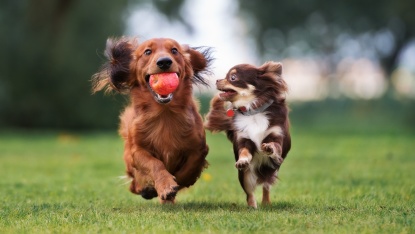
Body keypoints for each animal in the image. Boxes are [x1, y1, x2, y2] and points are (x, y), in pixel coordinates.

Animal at [92, 37, 213, 204]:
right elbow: (155, 164)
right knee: (134, 185)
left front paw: (178, 182)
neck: (164, 113)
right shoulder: (137, 151)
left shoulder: (199, 147)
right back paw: (147, 189)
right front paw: (165, 185)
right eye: (147, 52)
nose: (164, 62)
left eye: (174, 50)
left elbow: (190, 166)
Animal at [206, 61, 292, 207]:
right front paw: (242, 160)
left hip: (271, 170)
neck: (253, 111)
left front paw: (269, 147)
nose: (217, 80)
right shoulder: (244, 139)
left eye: (233, 77)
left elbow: (275, 145)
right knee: (249, 193)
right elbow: (244, 151)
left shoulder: (277, 135)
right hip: (245, 176)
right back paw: (252, 206)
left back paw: (266, 203)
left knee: (266, 186)